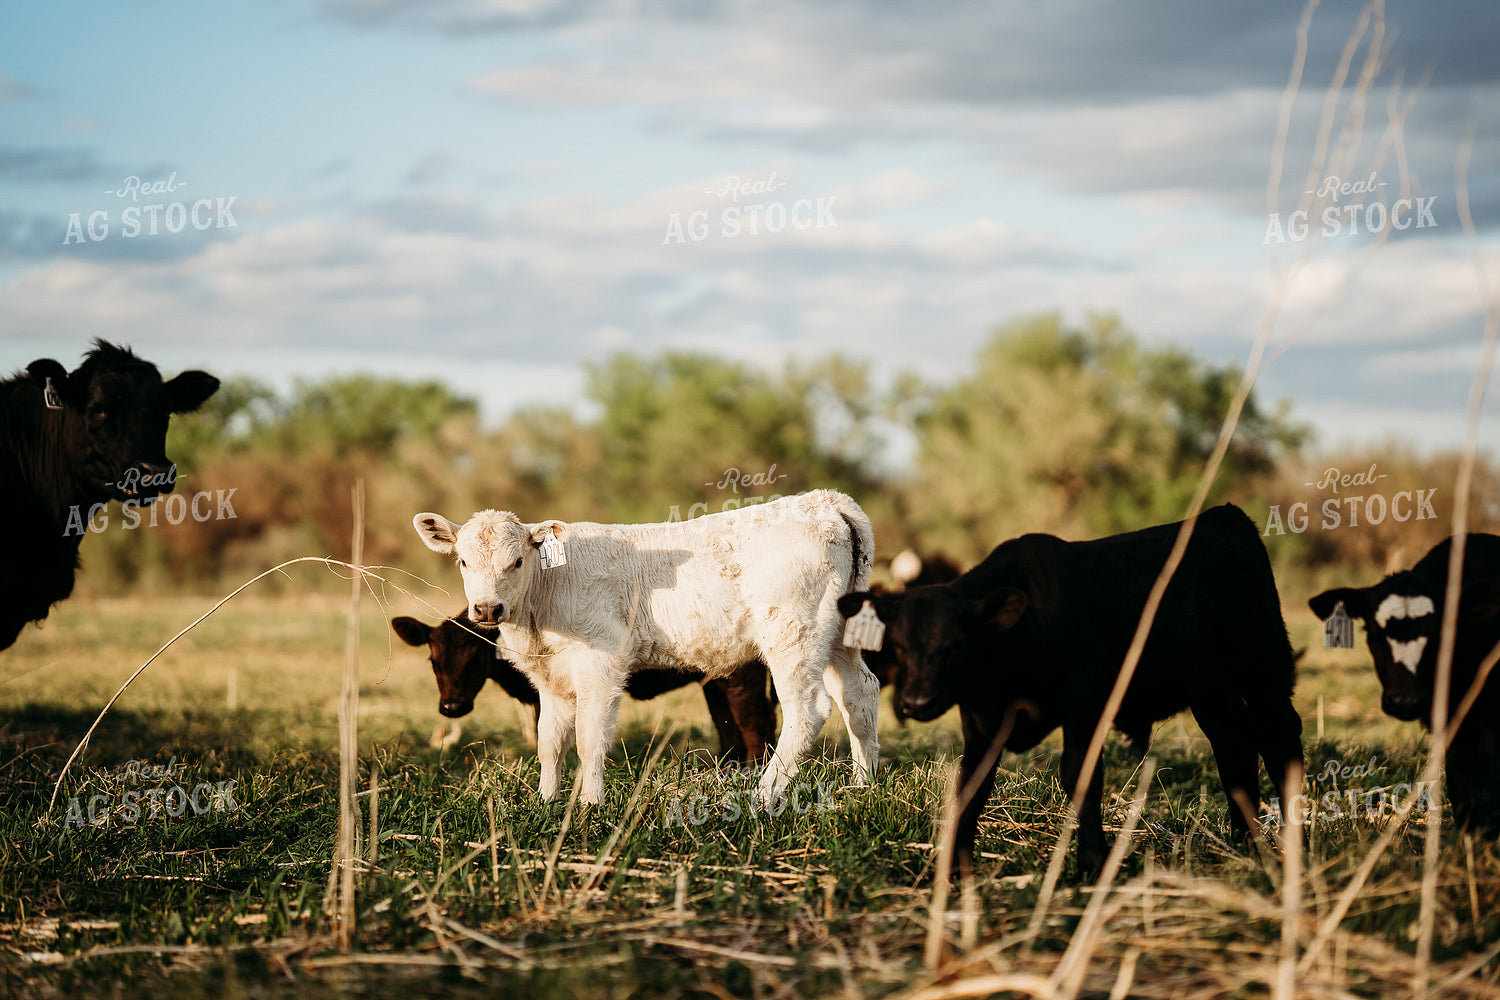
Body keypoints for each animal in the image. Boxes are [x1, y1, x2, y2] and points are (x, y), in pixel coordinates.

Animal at [390, 611, 776, 763]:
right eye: (433, 662)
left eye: (475, 659)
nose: (452, 707)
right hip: (716, 680)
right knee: (732, 726)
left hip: (742, 676)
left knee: (755, 723)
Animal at [838, 503, 1304, 878]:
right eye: (899, 644)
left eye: (958, 644)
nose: (916, 702)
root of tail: (1223, 515)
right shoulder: (981, 723)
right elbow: (971, 785)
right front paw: (954, 868)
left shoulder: (1085, 709)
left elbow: (1080, 778)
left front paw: (1093, 862)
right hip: (1210, 690)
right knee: (1234, 747)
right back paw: (1243, 842)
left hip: (1267, 671)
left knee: (1279, 739)